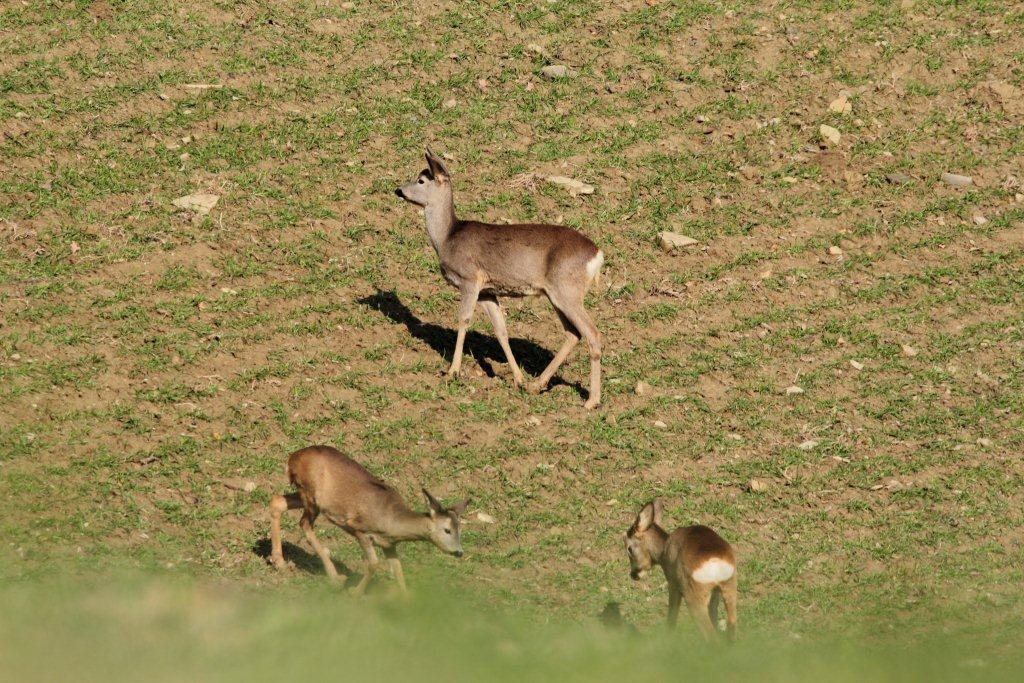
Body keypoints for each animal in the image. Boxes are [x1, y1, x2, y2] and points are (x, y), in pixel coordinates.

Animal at [268, 446, 468, 593]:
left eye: (459, 528)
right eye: (447, 529)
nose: (459, 552)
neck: (391, 521)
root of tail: (291, 458)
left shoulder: (389, 545)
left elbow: (398, 570)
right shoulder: (360, 529)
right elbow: (374, 564)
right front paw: (355, 592)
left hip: (306, 495)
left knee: (277, 501)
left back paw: (279, 561)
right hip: (311, 495)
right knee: (305, 524)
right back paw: (336, 578)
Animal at [389, 149, 598, 405]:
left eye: (421, 180)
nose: (399, 190)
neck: (447, 238)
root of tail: (597, 254)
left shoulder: (470, 279)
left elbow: (463, 320)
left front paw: (453, 371)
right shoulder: (488, 291)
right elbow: (501, 330)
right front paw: (518, 379)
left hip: (567, 291)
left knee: (592, 333)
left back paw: (591, 401)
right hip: (558, 295)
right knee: (573, 333)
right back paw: (537, 385)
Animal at [622, 501, 737, 643]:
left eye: (629, 549)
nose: (634, 574)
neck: (664, 550)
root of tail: (716, 561)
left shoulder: (673, 583)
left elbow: (672, 617)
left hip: (693, 596)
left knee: (711, 637)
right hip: (729, 588)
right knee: (731, 624)